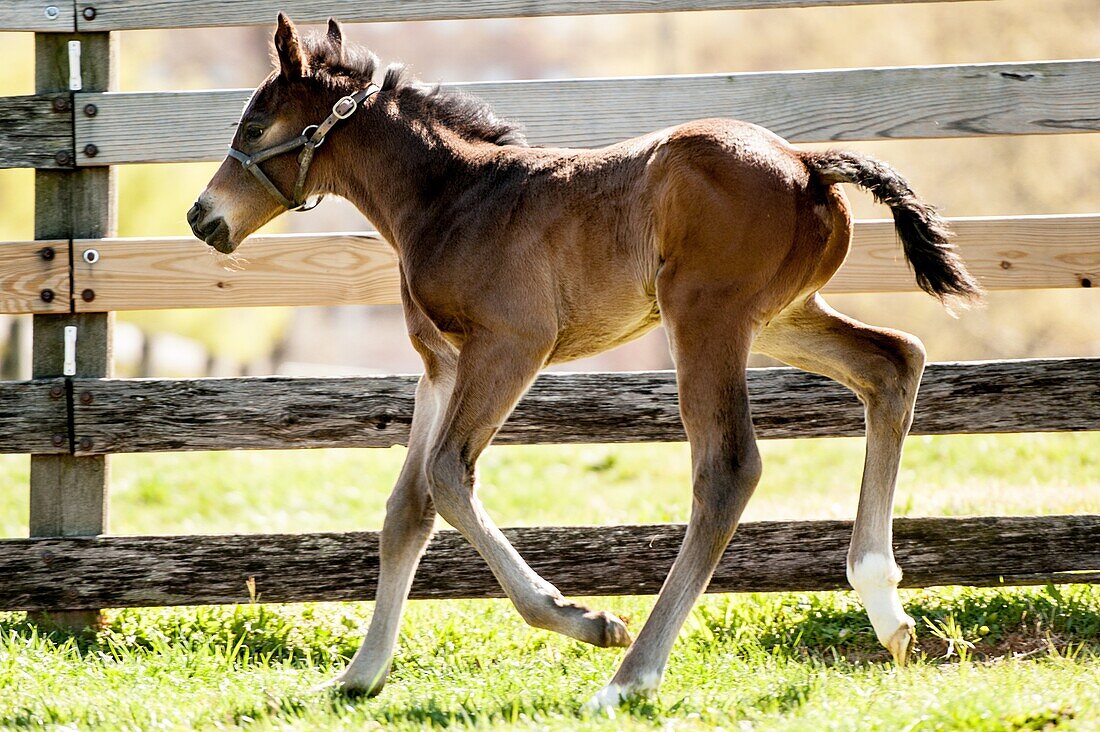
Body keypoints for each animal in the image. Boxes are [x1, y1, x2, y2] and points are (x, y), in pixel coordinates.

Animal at [187, 15, 981, 708]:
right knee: (893, 363)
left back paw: (630, 677)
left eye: (253, 126)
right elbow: (406, 509)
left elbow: (447, 477)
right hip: (778, 317)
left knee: (728, 467)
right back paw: (886, 609)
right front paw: (359, 676)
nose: (201, 217)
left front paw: (585, 620)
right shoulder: (441, 366)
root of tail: (807, 164)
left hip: (707, 316)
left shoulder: (510, 344)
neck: (454, 199)